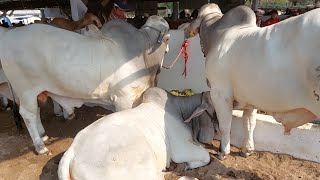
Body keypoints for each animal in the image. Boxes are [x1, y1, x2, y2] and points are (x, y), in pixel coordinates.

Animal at [0, 15, 170, 155]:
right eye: (168, 38)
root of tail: (8, 35)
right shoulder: (124, 98)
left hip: (34, 92)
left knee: (35, 111)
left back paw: (44, 136)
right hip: (25, 90)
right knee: (28, 114)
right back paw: (41, 147)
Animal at [57, 87, 218, 180]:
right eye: (216, 110)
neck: (181, 110)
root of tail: (72, 151)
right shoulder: (181, 149)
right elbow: (206, 156)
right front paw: (187, 165)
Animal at [184, 3, 320, 159]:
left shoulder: (220, 93)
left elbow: (225, 125)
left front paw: (223, 151)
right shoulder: (250, 97)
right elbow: (249, 123)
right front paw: (247, 149)